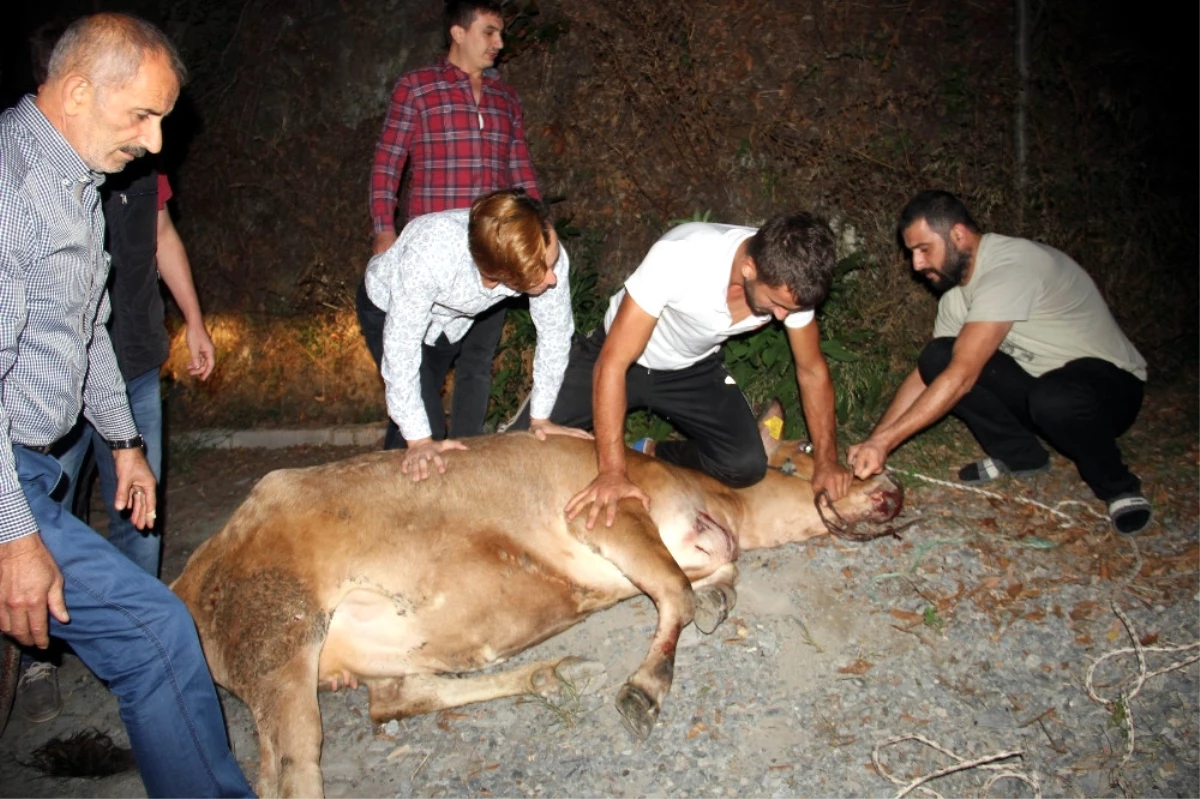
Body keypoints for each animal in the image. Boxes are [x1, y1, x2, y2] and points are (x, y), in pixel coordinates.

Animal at [169, 429, 902, 796]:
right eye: (806, 455)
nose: (891, 484)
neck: (725, 508)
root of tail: (186, 575)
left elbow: (710, 582)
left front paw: (719, 601)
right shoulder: (604, 512)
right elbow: (675, 590)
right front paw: (645, 688)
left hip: (370, 653)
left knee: (394, 700)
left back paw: (554, 674)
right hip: (276, 633)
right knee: (291, 769)